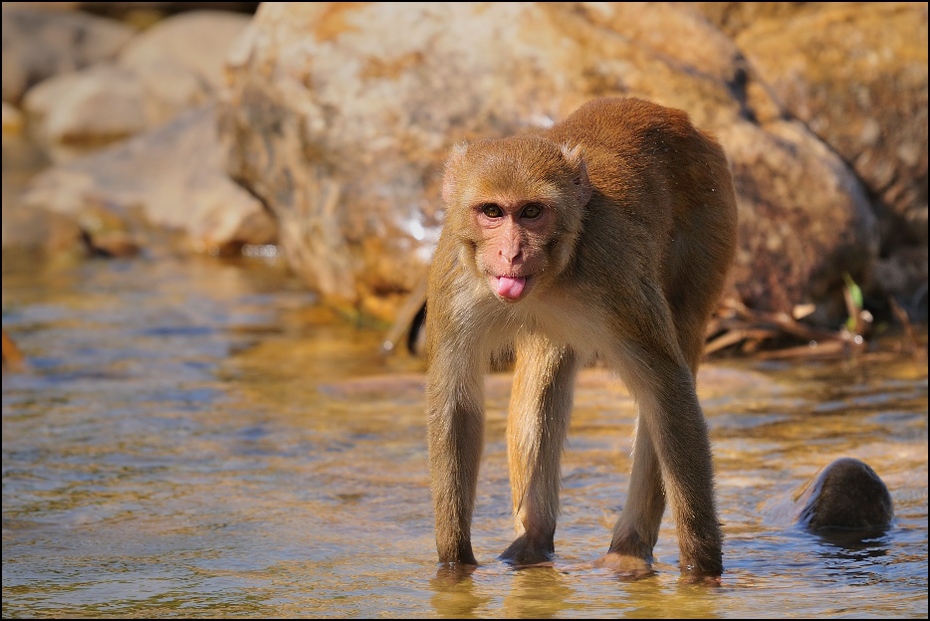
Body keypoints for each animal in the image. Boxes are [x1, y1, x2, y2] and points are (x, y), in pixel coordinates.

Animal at [424, 94, 736, 580]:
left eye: (532, 212)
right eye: (492, 212)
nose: (512, 253)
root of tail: (678, 117)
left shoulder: (615, 271)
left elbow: (666, 389)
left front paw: (702, 572)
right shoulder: (453, 276)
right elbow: (457, 407)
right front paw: (455, 564)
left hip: (711, 219)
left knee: (668, 375)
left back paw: (629, 548)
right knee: (544, 370)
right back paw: (533, 542)